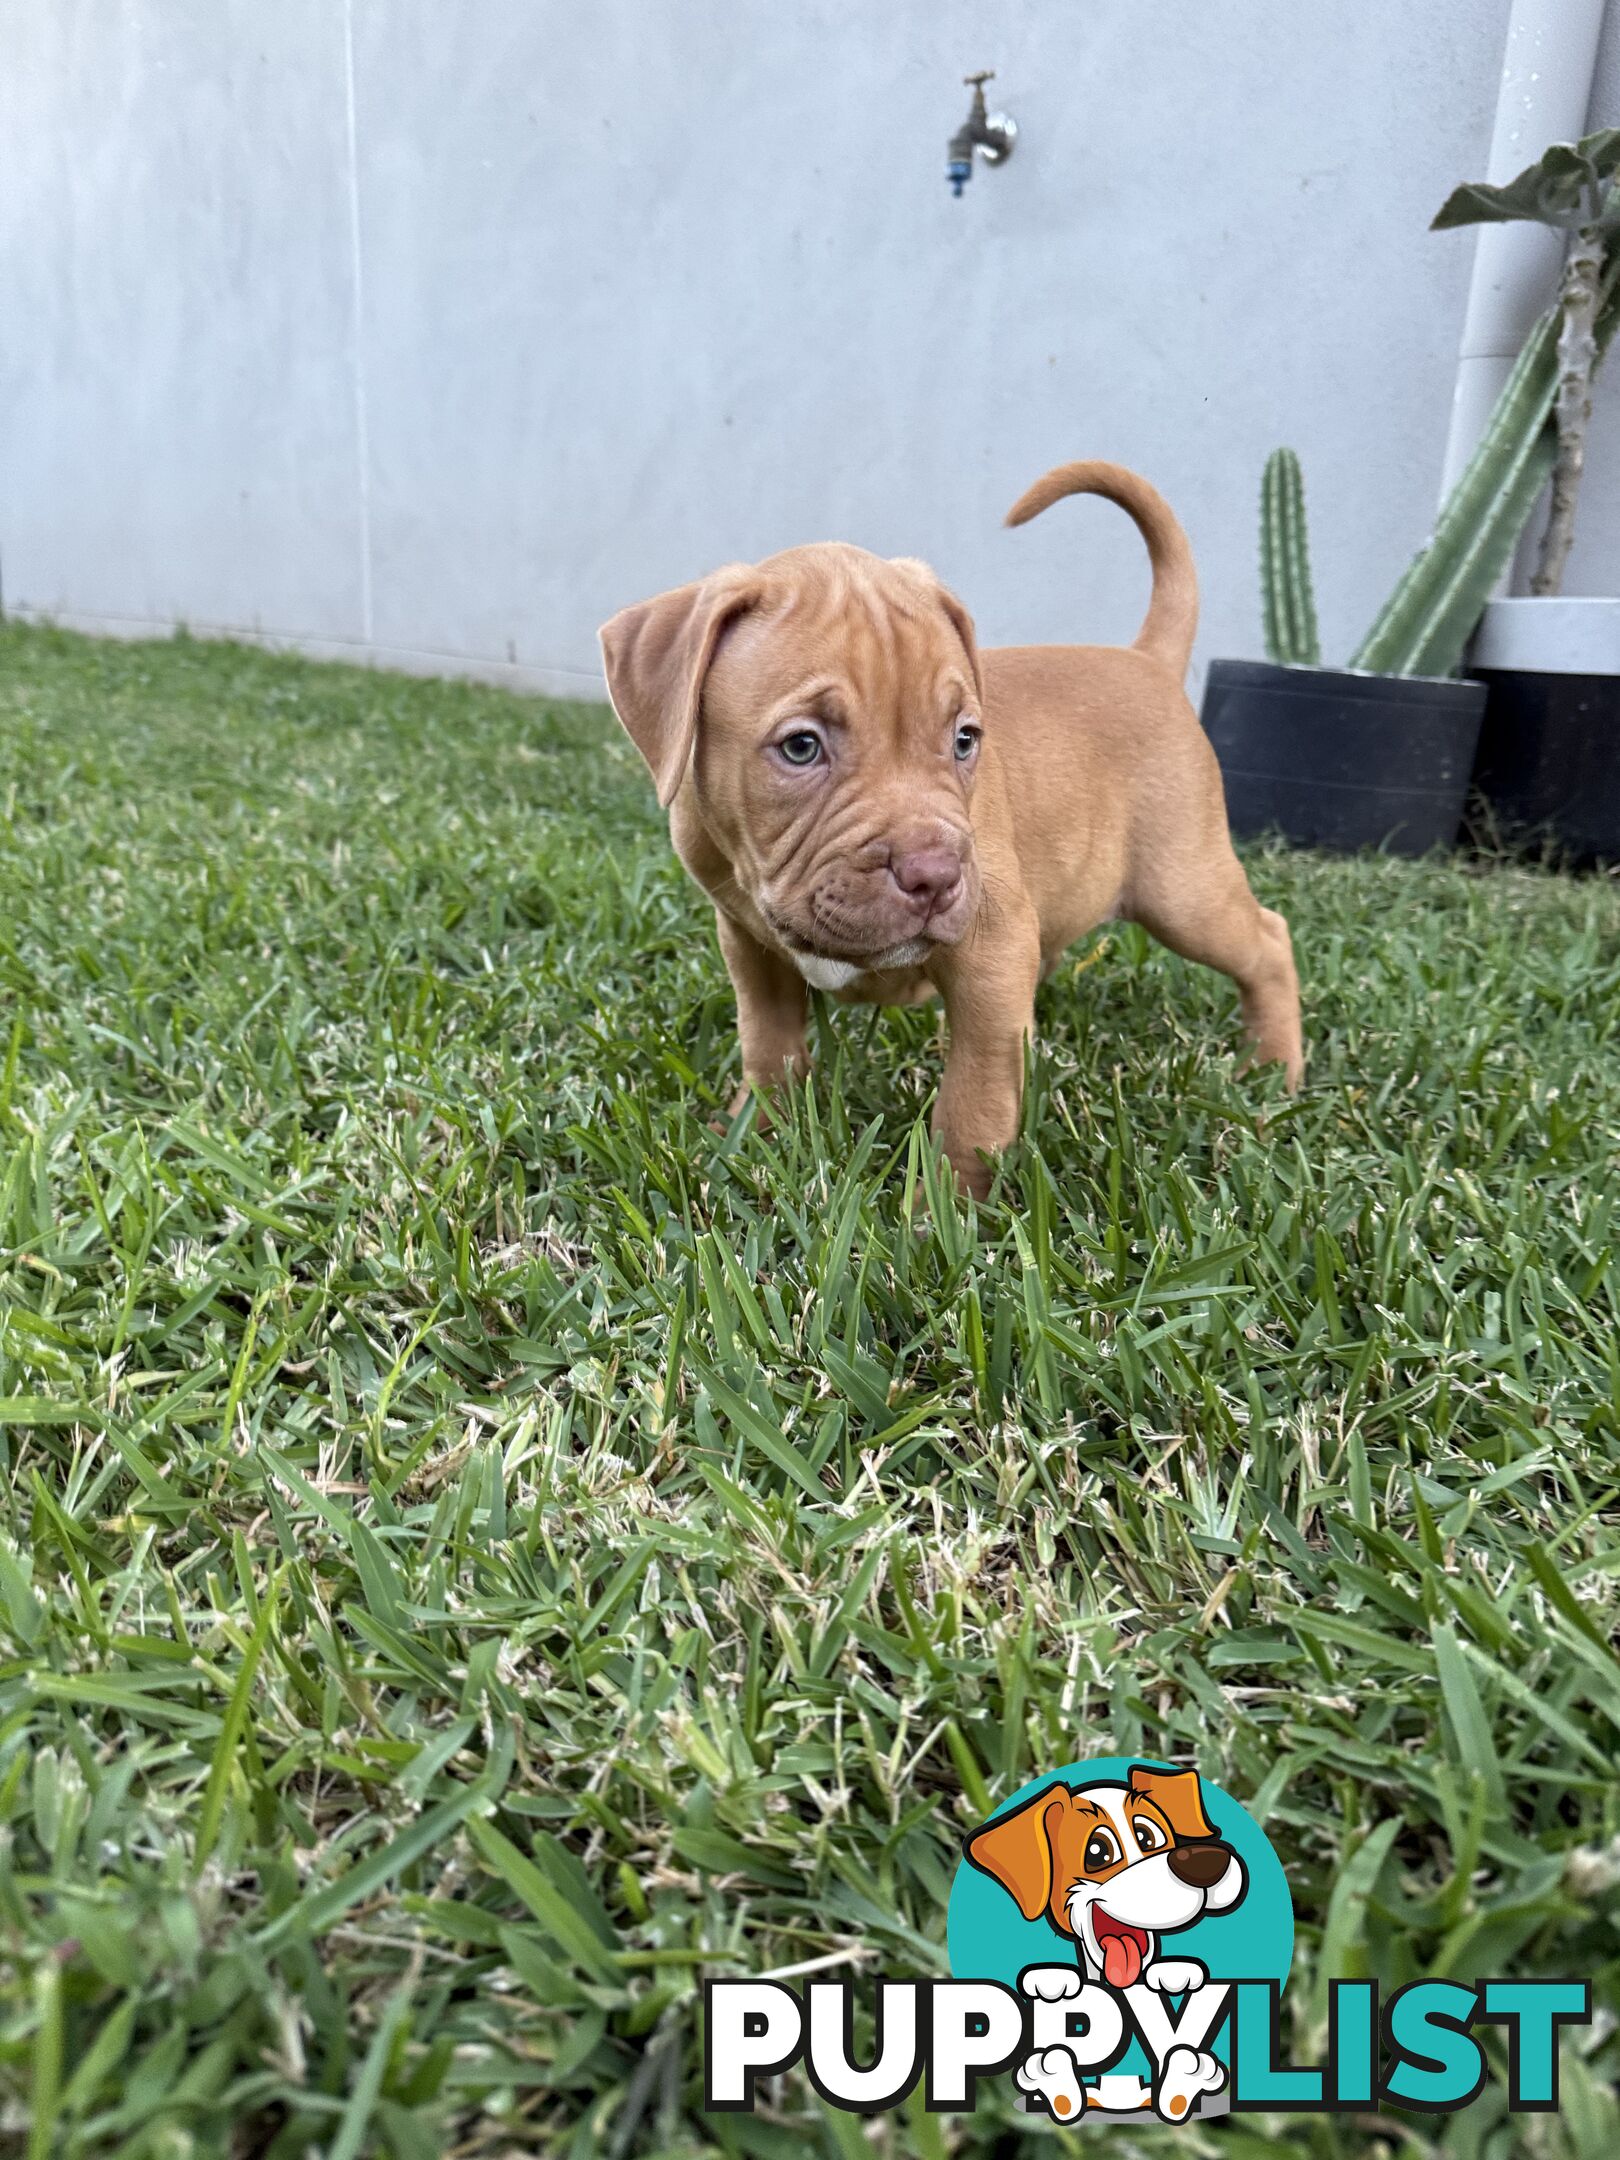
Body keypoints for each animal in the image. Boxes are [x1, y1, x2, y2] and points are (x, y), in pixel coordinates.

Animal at [604, 464, 1304, 1200]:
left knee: (1266, 941)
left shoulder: (991, 949)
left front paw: (944, 1207)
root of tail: (1147, 662)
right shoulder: (748, 942)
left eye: (964, 739)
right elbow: (769, 1045)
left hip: (1183, 890)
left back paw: (1272, 1066)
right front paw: (756, 1134)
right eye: (801, 747)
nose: (935, 877)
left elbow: (976, 1098)